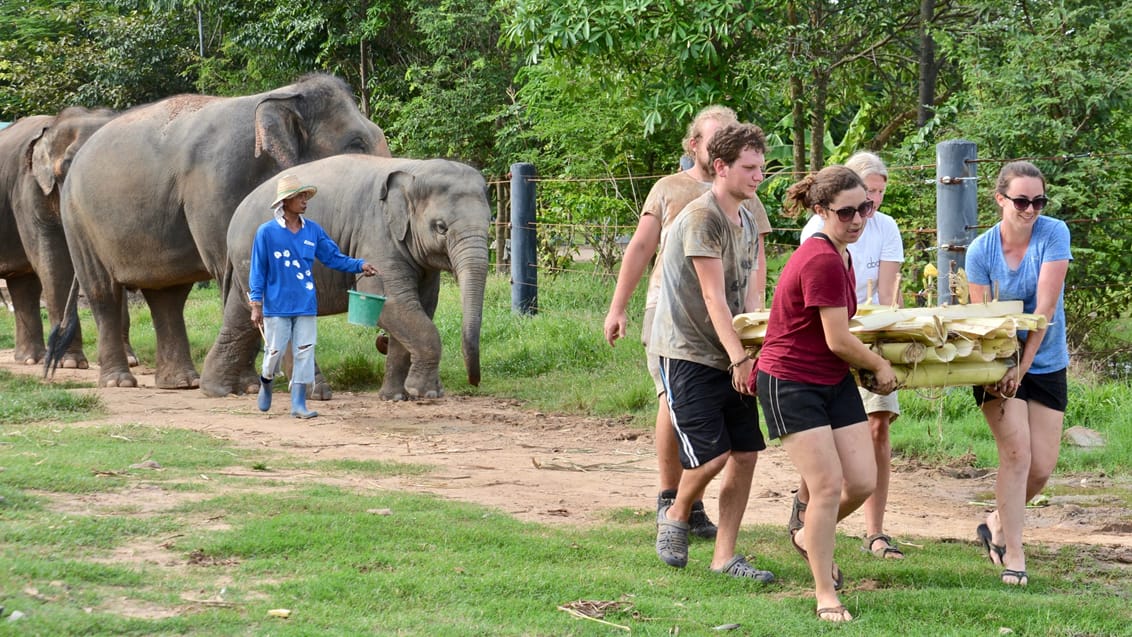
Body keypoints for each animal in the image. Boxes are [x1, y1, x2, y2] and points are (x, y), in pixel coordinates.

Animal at [0, 106, 123, 368]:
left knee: (23, 284)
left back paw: (30, 359)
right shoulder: (29, 190)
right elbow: (54, 262)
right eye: (67, 166)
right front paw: (71, 363)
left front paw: (130, 359)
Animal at [61, 77, 391, 391]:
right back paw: (119, 382)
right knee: (103, 292)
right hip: (78, 221)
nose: (383, 342)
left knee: (167, 296)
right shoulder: (219, 182)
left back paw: (182, 382)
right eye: (356, 144)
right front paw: (252, 385)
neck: (282, 94)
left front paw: (254, 384)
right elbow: (236, 275)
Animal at [198, 156, 486, 400]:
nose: (475, 382)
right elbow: (392, 304)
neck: (414, 168)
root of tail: (235, 218)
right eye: (441, 227)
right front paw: (426, 393)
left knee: (240, 316)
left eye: (491, 219)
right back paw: (316, 393)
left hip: (247, 268)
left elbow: (422, 307)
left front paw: (395, 397)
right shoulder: (377, 235)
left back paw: (217, 390)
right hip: (257, 259)